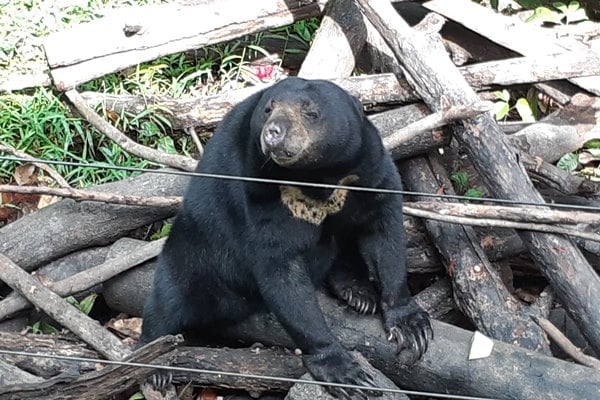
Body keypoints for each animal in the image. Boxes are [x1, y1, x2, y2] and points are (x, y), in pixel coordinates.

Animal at [141, 76, 432, 398]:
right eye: (268, 109)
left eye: (311, 112)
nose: (274, 133)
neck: (319, 177)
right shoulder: (263, 195)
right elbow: (282, 270)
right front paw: (345, 370)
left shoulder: (370, 171)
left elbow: (384, 234)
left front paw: (411, 327)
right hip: (195, 250)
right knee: (169, 299)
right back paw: (155, 366)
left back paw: (357, 292)